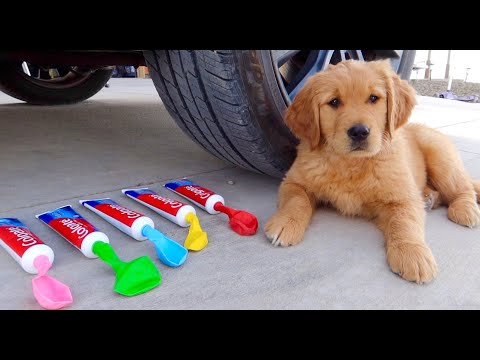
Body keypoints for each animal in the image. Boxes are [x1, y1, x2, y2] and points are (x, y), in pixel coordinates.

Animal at [264, 59, 480, 284]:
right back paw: (430, 198)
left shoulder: (403, 197)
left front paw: (412, 253)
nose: (359, 132)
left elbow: (405, 221)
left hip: (440, 156)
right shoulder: (293, 181)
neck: (351, 163)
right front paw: (286, 223)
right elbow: (297, 200)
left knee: (463, 188)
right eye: (334, 102)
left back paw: (465, 210)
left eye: (374, 98)